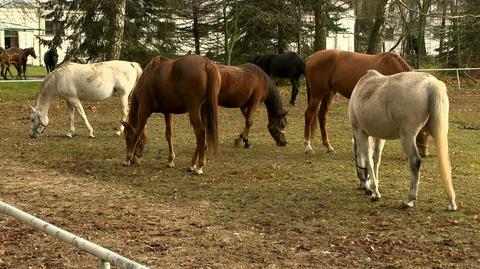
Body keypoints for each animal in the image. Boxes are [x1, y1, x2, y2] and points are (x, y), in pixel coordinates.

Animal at [159, 62, 288, 168]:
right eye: (282, 125)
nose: (284, 143)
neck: (261, 79)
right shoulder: (254, 102)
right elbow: (249, 122)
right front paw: (243, 140)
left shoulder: (244, 106)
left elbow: (247, 120)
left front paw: (243, 139)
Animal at [302, 49, 430, 156]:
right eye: (423, 132)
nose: (424, 153)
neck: (392, 69)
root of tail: (311, 58)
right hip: (317, 94)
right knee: (309, 115)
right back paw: (308, 147)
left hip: (329, 93)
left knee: (322, 116)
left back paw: (328, 146)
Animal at [348, 69, 458, 211]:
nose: (363, 187)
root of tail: (430, 83)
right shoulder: (379, 137)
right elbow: (376, 160)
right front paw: (374, 187)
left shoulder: (360, 133)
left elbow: (369, 161)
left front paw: (375, 192)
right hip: (437, 133)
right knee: (446, 162)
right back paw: (451, 202)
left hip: (407, 136)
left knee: (415, 161)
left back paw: (408, 200)